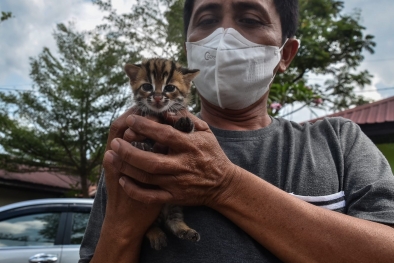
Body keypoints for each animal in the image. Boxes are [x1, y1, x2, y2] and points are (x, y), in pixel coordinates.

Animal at [124, 58, 200, 251]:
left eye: (169, 88)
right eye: (147, 86)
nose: (158, 97)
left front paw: (184, 125)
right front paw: (140, 144)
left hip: (174, 205)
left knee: (173, 220)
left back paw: (185, 230)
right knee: (149, 226)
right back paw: (156, 235)